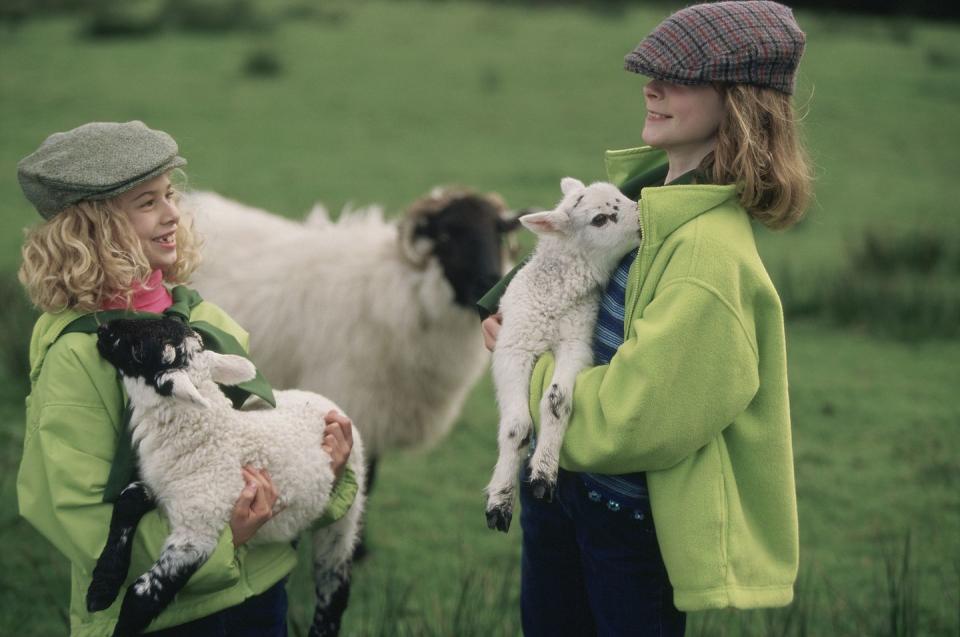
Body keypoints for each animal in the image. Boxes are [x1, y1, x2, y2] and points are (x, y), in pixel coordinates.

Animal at [484, 178, 640, 532]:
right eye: (600, 219)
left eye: (622, 195)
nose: (643, 215)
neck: (556, 294)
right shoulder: (513, 346)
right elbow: (516, 426)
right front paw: (499, 501)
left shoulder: (576, 343)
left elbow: (556, 402)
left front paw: (543, 473)